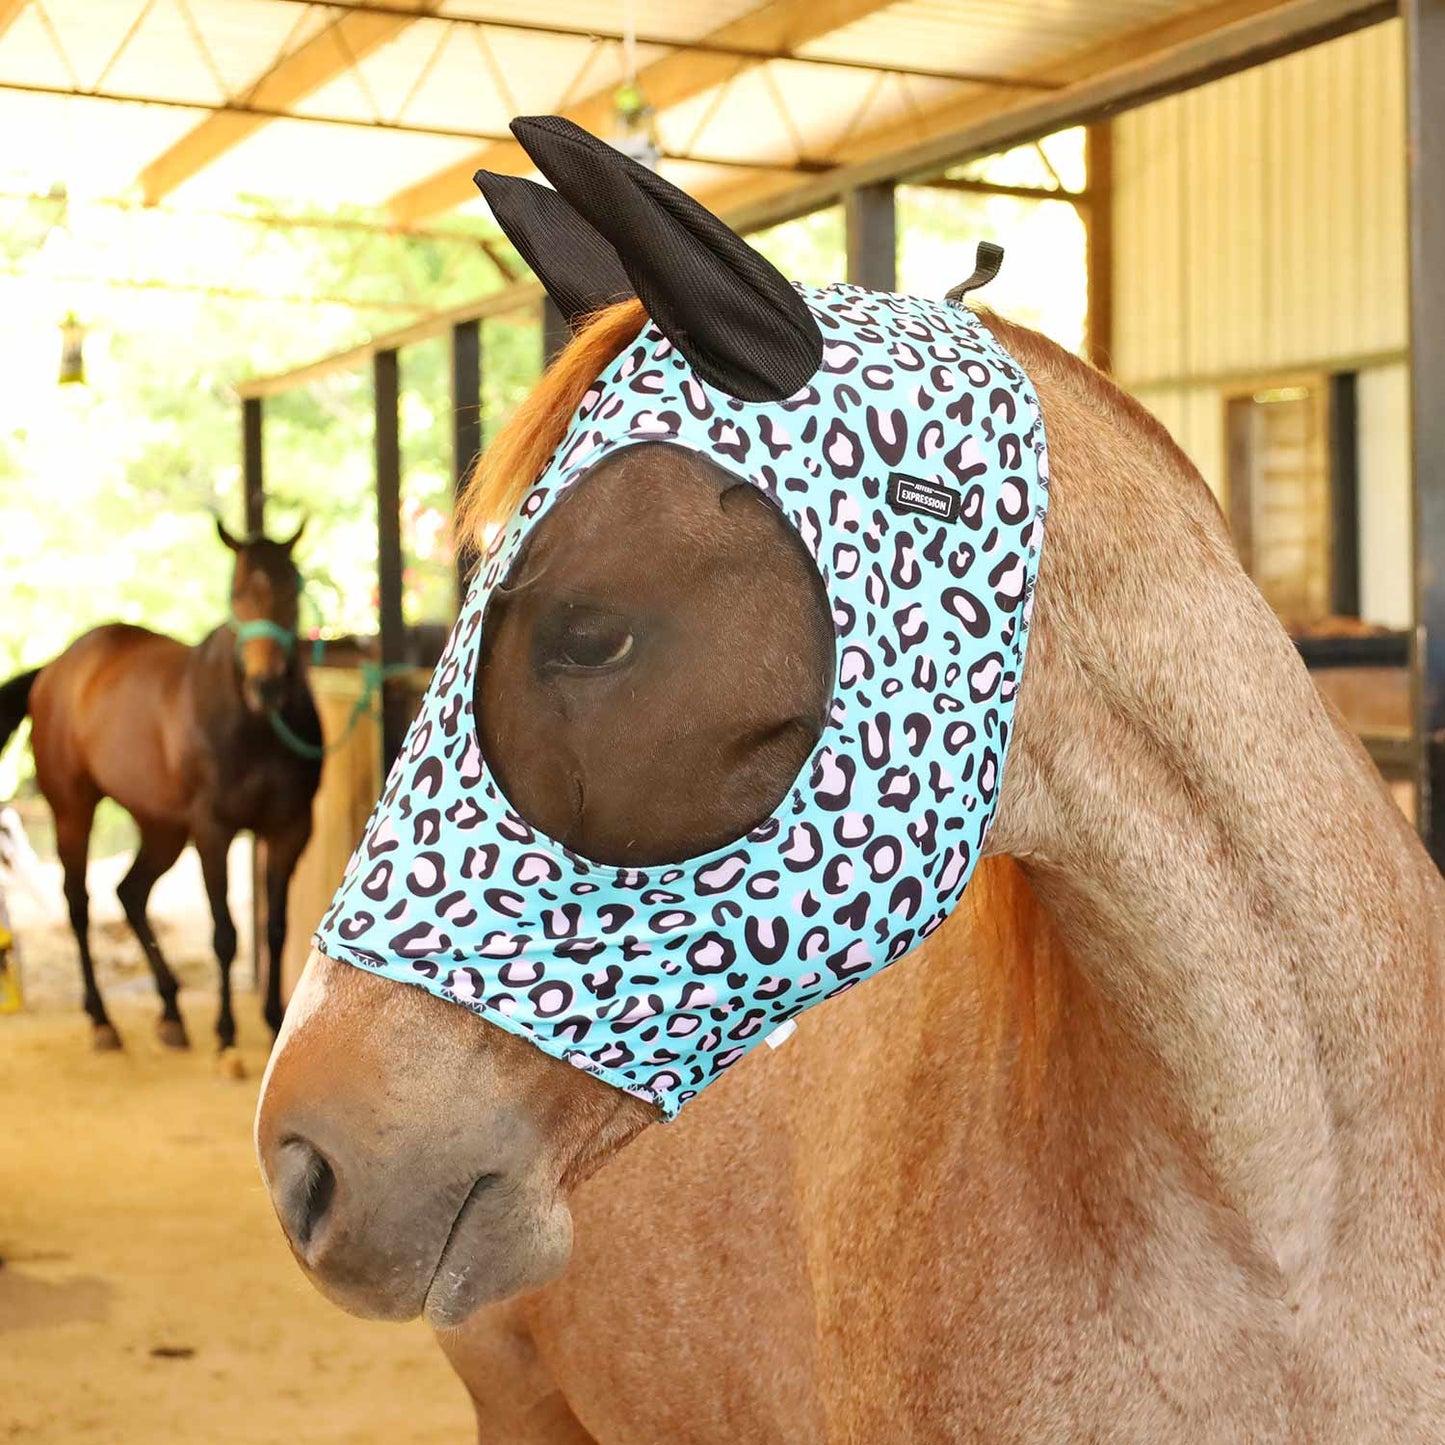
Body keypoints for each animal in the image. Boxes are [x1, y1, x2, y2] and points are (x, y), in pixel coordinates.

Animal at [0, 522, 321, 1051]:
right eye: (236, 593)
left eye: (294, 589)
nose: (267, 686)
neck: (253, 728)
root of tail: (56, 668)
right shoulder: (213, 831)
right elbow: (225, 934)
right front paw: (226, 1031)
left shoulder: (290, 830)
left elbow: (276, 928)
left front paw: (275, 1020)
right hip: (73, 810)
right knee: (79, 904)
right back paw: (102, 1019)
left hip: (162, 828)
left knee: (130, 892)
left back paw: (170, 1010)